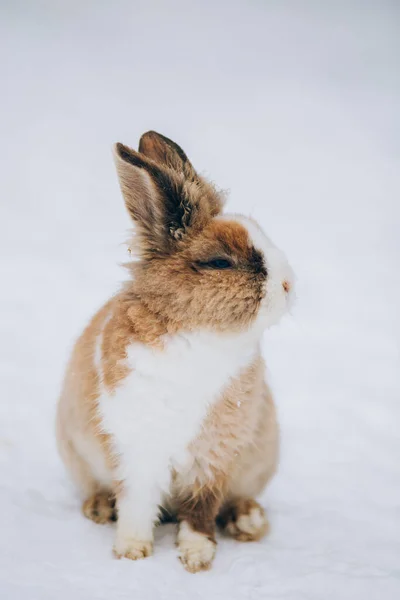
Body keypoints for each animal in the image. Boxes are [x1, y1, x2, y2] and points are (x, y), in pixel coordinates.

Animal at [55, 131, 294, 572]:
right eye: (220, 262)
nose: (288, 285)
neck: (197, 334)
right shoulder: (136, 449)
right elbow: (137, 503)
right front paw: (132, 552)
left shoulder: (214, 455)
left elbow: (200, 510)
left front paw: (197, 558)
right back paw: (99, 509)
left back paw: (249, 521)